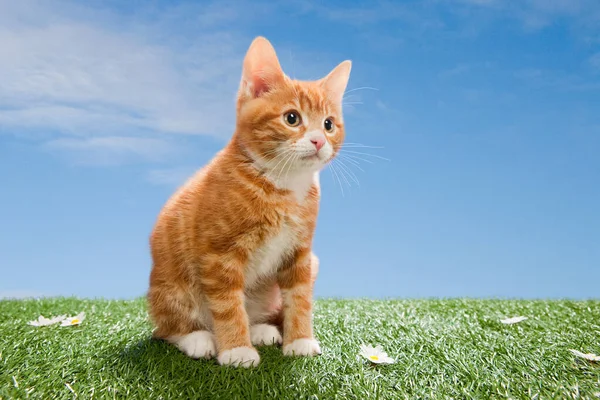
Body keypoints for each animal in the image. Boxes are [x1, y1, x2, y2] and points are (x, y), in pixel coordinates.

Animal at [146, 36, 352, 368]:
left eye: (329, 124)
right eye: (292, 118)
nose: (319, 140)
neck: (282, 187)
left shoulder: (301, 252)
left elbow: (300, 298)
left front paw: (300, 340)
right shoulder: (218, 254)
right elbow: (228, 304)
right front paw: (236, 350)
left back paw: (260, 329)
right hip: (171, 287)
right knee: (166, 329)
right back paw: (199, 338)